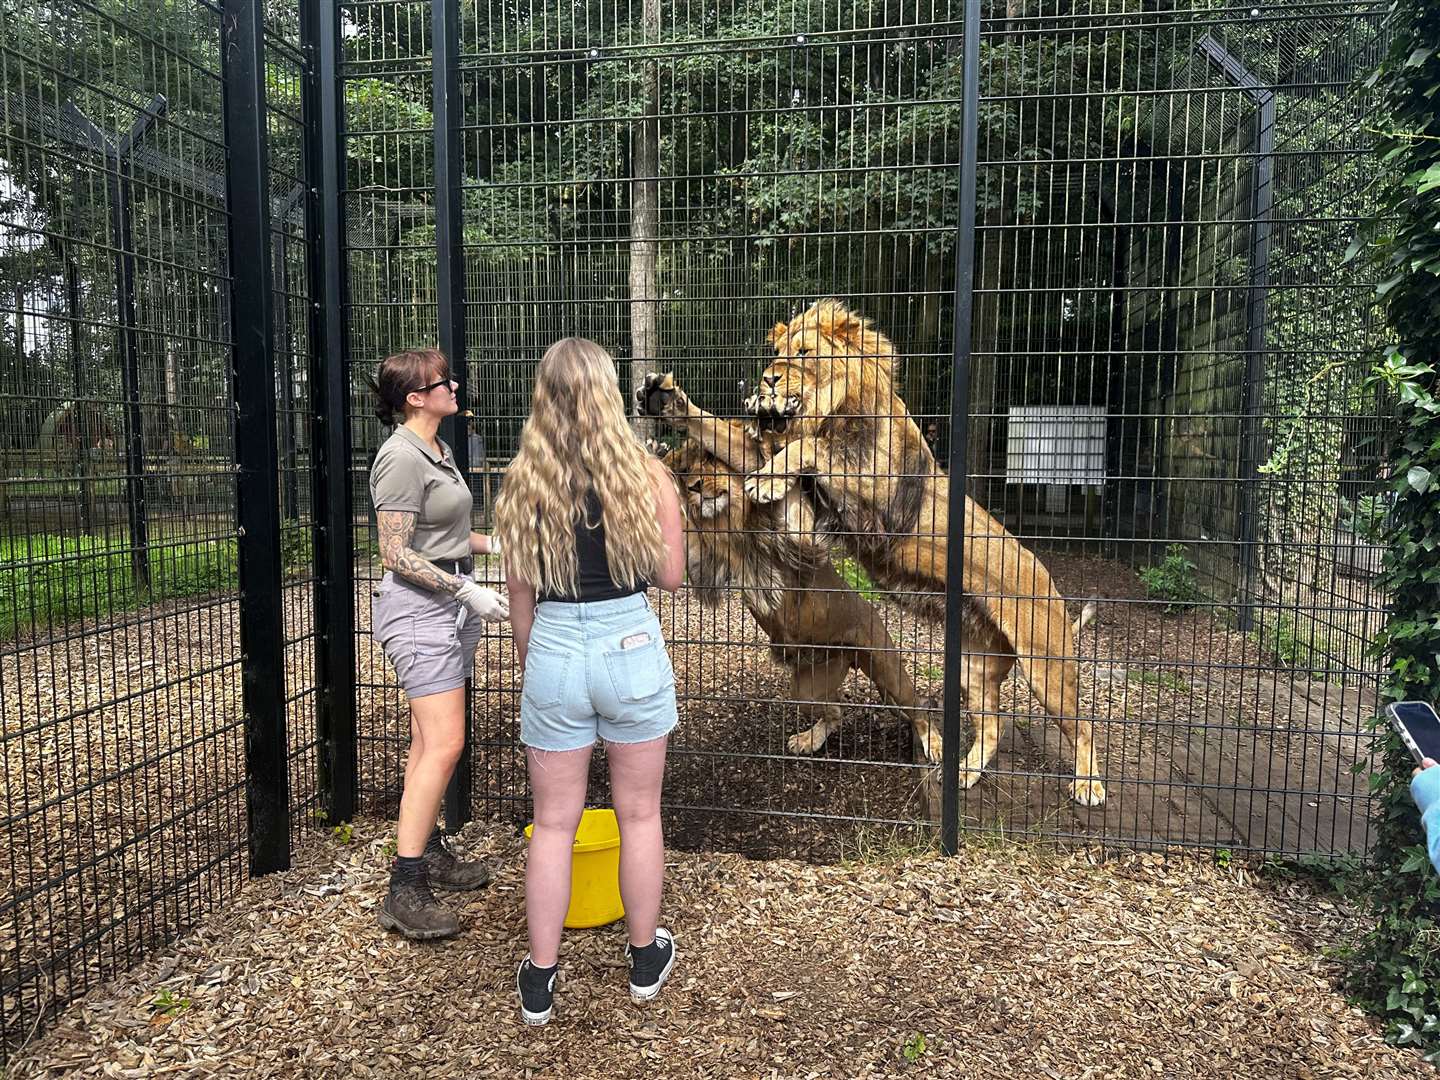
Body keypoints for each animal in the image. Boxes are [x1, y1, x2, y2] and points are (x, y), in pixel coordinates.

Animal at [636, 300, 1105, 806]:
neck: (834, 409)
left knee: (1081, 726)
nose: (768, 379)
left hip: (1045, 665)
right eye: (777, 353)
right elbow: (721, 432)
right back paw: (963, 772)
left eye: (803, 353)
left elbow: (809, 446)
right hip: (972, 667)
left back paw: (1088, 784)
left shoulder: (868, 486)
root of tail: (1050, 587)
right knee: (992, 725)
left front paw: (767, 478)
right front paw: (668, 402)